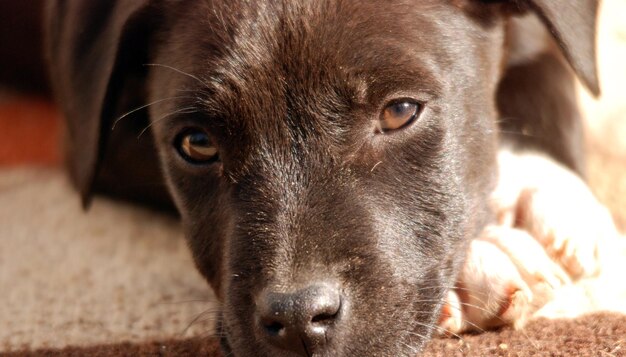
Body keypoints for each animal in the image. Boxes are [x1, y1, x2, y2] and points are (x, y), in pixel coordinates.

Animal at [45, 1, 616, 354]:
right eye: (197, 144)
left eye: (400, 111)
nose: (298, 320)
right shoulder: (88, 146)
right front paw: (487, 254)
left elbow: (553, 78)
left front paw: (550, 193)